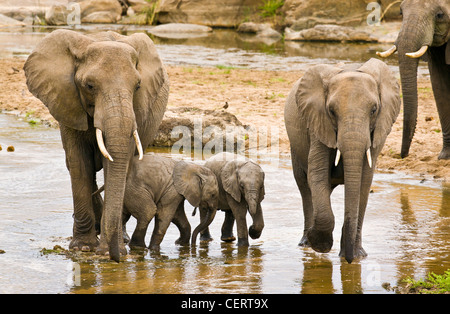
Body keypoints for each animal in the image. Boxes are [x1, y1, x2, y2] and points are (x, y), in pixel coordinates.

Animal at [24, 29, 171, 262]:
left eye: (138, 86)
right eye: (90, 86)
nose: (114, 256)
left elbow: (117, 164)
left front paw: (112, 249)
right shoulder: (68, 102)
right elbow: (79, 163)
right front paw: (83, 248)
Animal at [284, 58, 400, 262]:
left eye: (374, 110)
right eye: (331, 111)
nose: (349, 259)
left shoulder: (377, 132)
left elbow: (364, 181)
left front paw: (357, 256)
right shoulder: (318, 125)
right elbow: (317, 175)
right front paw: (320, 245)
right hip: (295, 146)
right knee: (305, 186)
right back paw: (306, 243)